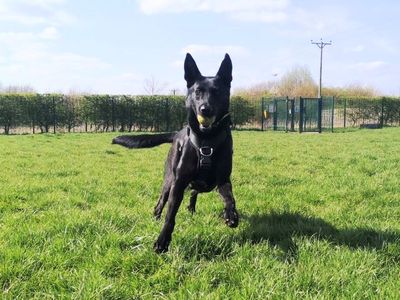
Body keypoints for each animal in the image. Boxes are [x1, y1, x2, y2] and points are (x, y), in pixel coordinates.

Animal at [111, 52, 239, 252]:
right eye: (197, 92)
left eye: (218, 92)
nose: (205, 109)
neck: (206, 139)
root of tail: (177, 132)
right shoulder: (178, 183)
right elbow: (170, 215)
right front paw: (162, 240)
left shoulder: (223, 179)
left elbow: (229, 197)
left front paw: (231, 215)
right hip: (168, 181)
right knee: (161, 203)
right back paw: (155, 217)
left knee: (194, 192)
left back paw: (192, 208)